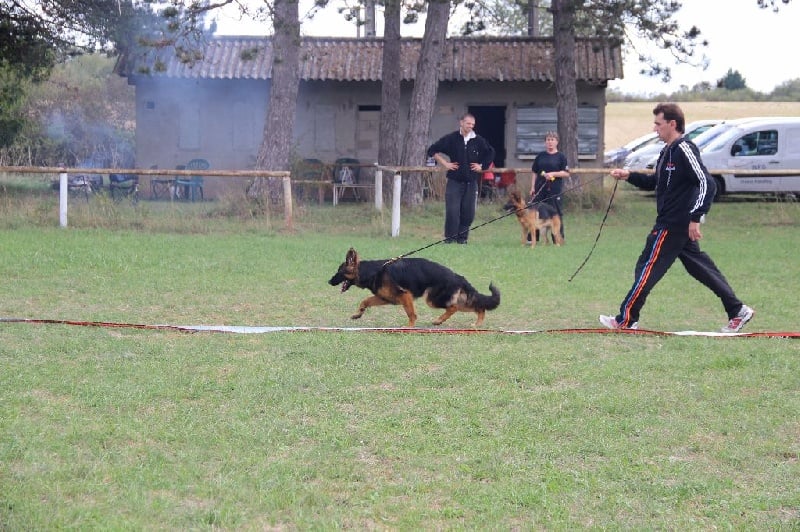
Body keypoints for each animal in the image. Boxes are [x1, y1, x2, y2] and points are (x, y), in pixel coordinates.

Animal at [328, 248, 500, 327]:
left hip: (433, 300)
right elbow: (365, 301)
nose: (329, 282)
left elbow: (411, 314)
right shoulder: (386, 298)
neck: (372, 271)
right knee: (478, 307)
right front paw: (358, 314)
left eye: (339, 272)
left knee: (453, 308)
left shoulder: (405, 296)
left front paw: (409, 327)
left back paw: (439, 320)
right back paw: (477, 324)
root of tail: (457, 276)